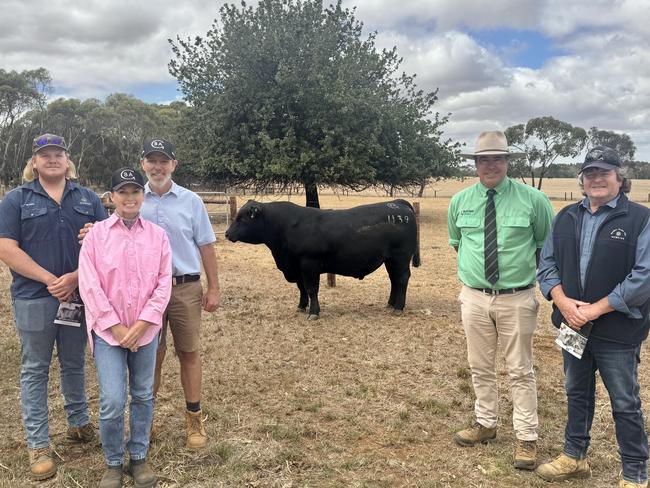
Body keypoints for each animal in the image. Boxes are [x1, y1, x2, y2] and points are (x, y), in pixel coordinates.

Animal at [224, 199, 420, 320]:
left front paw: (313, 312)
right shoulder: (297, 267)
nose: (226, 233)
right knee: (394, 280)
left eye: (242, 219)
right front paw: (301, 306)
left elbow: (311, 288)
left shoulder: (309, 263)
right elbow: (301, 288)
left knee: (401, 279)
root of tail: (397, 203)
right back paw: (390, 304)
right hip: (390, 260)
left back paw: (398, 308)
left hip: (400, 257)